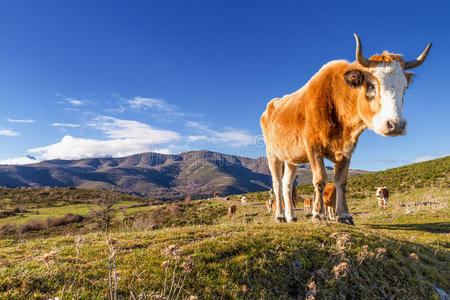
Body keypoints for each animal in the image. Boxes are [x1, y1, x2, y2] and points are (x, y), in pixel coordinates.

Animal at [260, 34, 432, 224]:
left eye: (405, 88)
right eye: (371, 85)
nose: (396, 125)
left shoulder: (346, 149)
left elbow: (341, 181)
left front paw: (344, 215)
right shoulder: (313, 146)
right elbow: (320, 179)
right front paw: (318, 214)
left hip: (291, 158)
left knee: (287, 185)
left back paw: (291, 216)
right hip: (272, 154)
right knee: (277, 183)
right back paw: (280, 216)